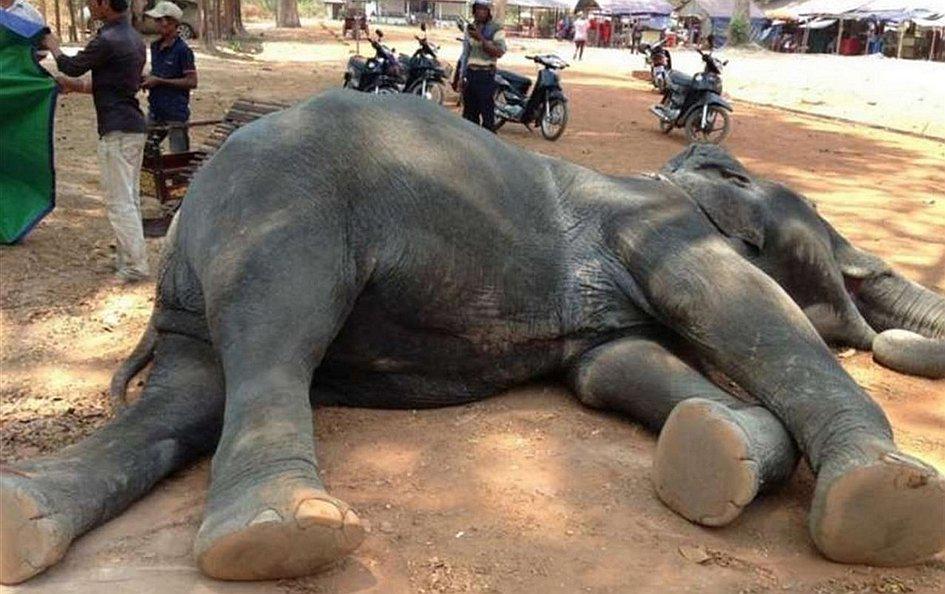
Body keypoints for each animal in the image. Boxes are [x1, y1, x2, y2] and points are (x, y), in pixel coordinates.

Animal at [1, 91, 943, 585]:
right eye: (822, 231)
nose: (867, 317)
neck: (671, 178)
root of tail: (183, 220)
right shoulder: (659, 229)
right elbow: (738, 306)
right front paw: (885, 498)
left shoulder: (606, 318)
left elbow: (612, 365)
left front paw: (721, 449)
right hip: (283, 209)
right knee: (276, 330)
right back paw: (278, 536)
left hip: (197, 296)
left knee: (190, 393)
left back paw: (27, 518)